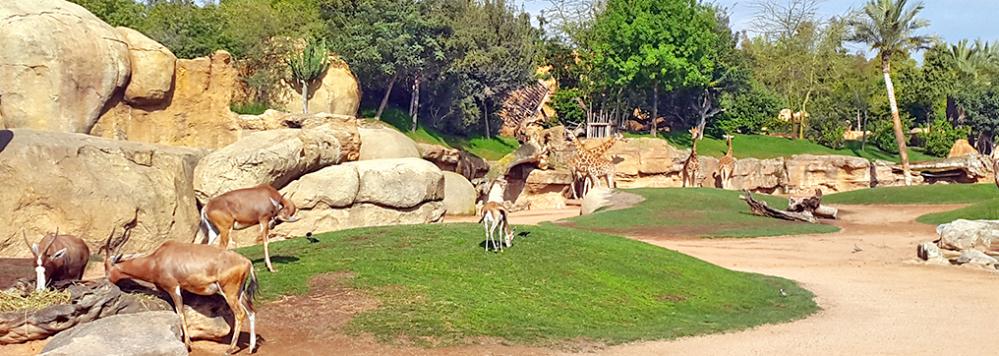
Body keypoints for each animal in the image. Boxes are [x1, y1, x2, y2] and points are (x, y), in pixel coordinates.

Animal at [104, 227, 260, 354]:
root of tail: (247, 262)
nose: (107, 282)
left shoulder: (174, 289)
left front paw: (187, 344)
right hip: (239, 293)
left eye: (106, 268)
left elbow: (180, 313)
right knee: (251, 311)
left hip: (229, 293)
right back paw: (251, 348)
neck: (157, 258)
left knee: (240, 314)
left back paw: (230, 349)